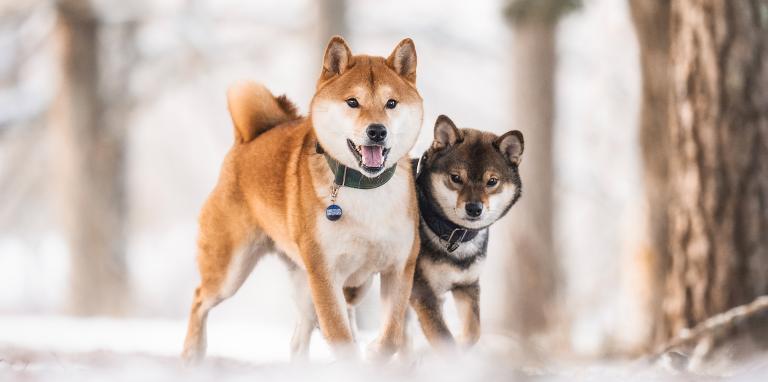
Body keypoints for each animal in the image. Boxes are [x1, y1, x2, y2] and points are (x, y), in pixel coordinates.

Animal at [182, 37, 424, 362]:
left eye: (391, 103)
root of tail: (247, 140)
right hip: (230, 271)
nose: (377, 131)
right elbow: (341, 337)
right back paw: (192, 351)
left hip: (321, 282)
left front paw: (375, 354)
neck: (365, 189)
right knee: (199, 298)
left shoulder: (398, 268)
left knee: (299, 339)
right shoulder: (324, 273)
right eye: (352, 102)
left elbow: (392, 336)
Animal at [408, 115, 528, 348]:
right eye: (456, 178)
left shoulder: (467, 285)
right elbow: (444, 339)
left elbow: (474, 331)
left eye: (492, 181)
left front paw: (462, 342)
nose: (474, 208)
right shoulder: (423, 293)